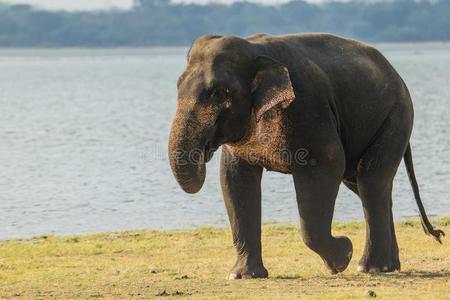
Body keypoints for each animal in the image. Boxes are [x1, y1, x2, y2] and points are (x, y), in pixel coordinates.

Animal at [167, 32, 444, 278]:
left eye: (219, 93)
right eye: (177, 86)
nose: (205, 152)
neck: (254, 49)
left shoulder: (308, 107)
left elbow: (327, 164)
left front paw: (343, 255)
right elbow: (234, 180)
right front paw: (243, 276)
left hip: (396, 117)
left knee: (370, 182)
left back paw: (371, 268)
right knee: (367, 186)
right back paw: (387, 266)